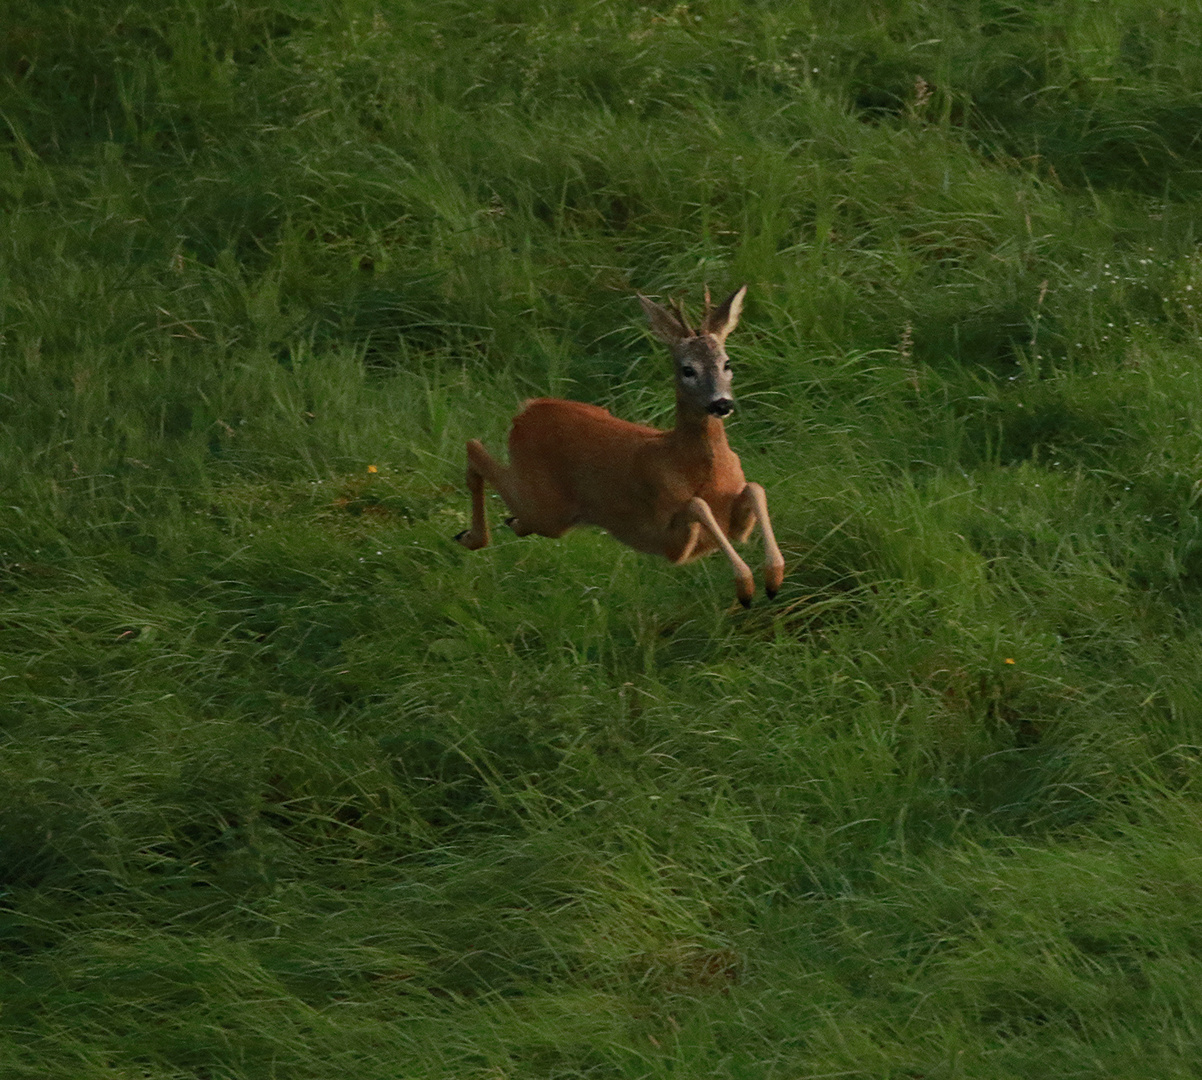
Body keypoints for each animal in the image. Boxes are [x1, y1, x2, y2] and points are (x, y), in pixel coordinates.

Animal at [454, 287, 783, 607]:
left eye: (727, 363)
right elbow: (697, 505)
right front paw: (746, 587)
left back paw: (499, 526)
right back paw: (469, 537)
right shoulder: (670, 542)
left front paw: (774, 578)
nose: (721, 403)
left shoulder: (734, 527)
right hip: (545, 505)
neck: (692, 465)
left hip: (548, 512)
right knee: (474, 448)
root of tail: (525, 412)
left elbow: (755, 488)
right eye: (688, 369)